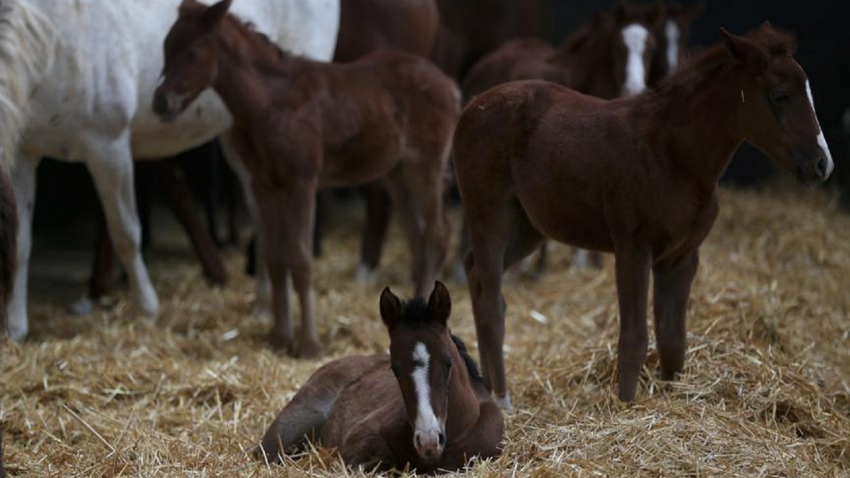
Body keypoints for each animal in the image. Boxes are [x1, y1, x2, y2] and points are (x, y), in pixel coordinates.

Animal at [3, 0, 342, 340]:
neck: (55, 40)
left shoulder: (108, 147)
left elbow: (126, 233)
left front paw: (147, 310)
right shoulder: (23, 155)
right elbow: (20, 244)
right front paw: (16, 328)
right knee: (263, 218)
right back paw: (262, 307)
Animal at [152, 0, 458, 354]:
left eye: (192, 52)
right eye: (165, 47)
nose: (161, 102)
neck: (268, 102)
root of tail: (449, 85)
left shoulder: (302, 182)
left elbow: (300, 259)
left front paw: (308, 344)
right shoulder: (265, 184)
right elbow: (274, 258)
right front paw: (280, 337)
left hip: (426, 164)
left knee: (438, 232)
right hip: (397, 171)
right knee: (416, 234)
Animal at [255, 282, 500, 472]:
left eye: (448, 363)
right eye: (394, 369)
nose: (428, 441)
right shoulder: (359, 437)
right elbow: (379, 460)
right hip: (289, 427)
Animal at [454, 24, 832, 406]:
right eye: (780, 96)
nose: (822, 164)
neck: (673, 154)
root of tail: (471, 106)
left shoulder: (681, 257)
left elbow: (673, 338)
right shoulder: (633, 250)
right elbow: (634, 338)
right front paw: (626, 406)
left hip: (529, 227)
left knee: (474, 273)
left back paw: (483, 389)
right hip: (491, 218)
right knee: (492, 305)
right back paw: (502, 400)